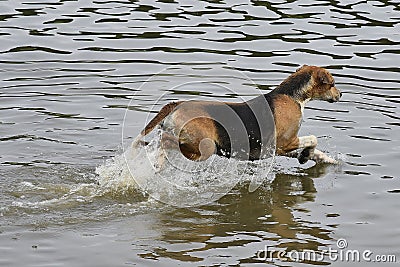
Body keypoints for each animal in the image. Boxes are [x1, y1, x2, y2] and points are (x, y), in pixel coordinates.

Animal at [131, 65, 340, 165]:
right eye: (332, 84)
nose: (340, 94)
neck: (291, 95)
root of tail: (177, 104)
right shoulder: (286, 142)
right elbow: (313, 139)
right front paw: (308, 154)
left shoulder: (281, 149)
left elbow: (315, 150)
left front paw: (316, 158)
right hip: (203, 148)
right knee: (164, 143)